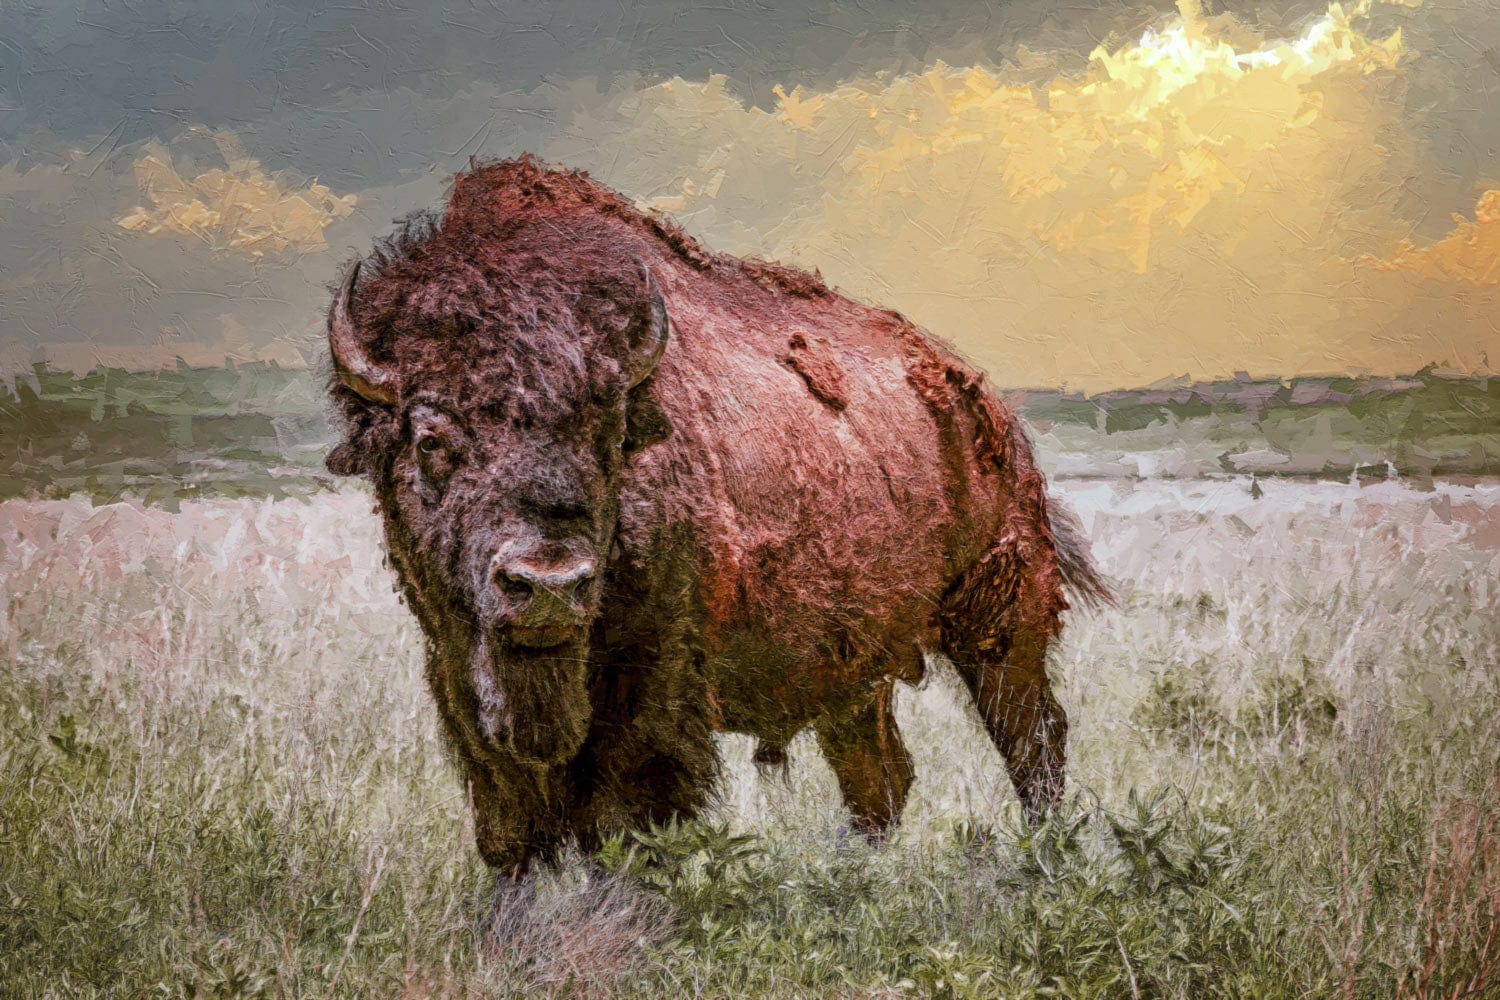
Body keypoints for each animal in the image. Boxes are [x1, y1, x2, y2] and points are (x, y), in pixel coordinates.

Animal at [325, 155, 1109, 879]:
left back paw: (1043, 859)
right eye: (431, 439)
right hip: (855, 667)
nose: (548, 585)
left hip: (999, 622)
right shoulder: (459, 674)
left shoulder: (653, 687)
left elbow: (625, 821)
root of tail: (987, 404)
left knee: (1033, 740)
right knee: (882, 775)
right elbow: (511, 828)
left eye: (610, 432)